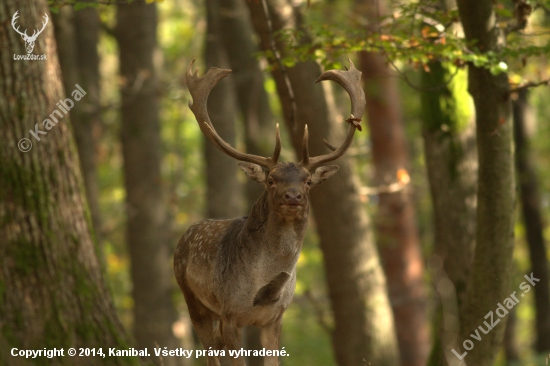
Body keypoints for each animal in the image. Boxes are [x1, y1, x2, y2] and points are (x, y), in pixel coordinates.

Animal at [176, 58, 366, 364]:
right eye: (271, 180)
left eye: (308, 181)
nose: (293, 196)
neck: (264, 290)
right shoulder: (231, 314)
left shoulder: (275, 318)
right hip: (193, 301)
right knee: (209, 351)